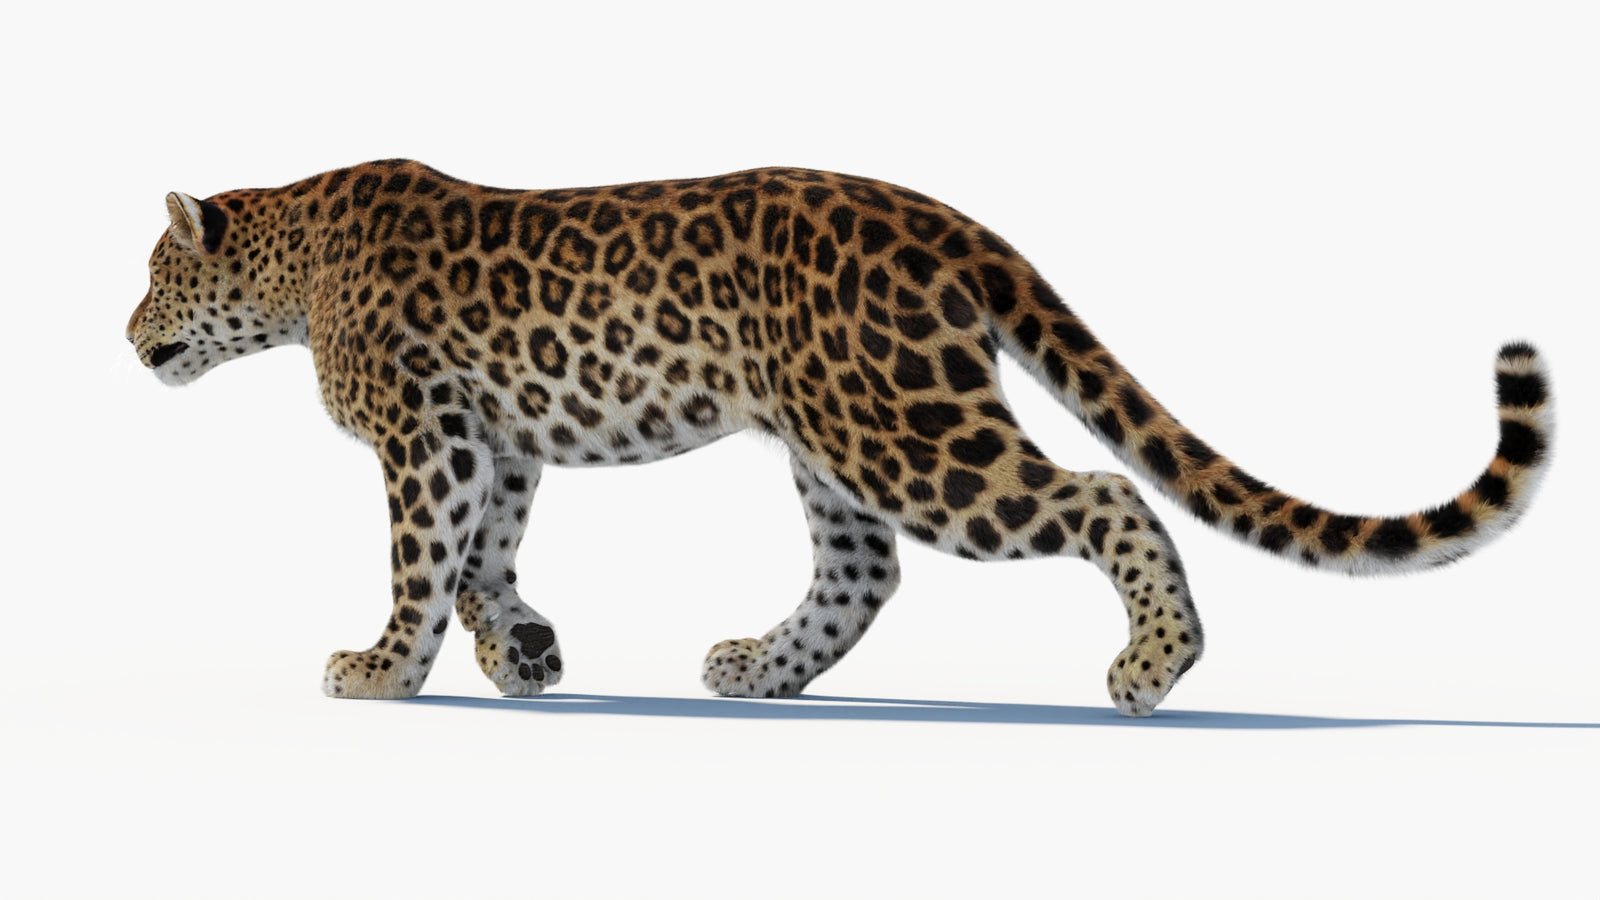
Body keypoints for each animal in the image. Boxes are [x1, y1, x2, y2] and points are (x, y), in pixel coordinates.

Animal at [126, 160, 1553, 716]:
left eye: (152, 272)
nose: (123, 330)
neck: (293, 263)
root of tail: (945, 219)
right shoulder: (498, 435)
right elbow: (483, 560)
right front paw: (522, 653)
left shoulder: (425, 431)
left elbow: (420, 558)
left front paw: (380, 670)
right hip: (836, 436)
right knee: (863, 573)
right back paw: (757, 668)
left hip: (908, 434)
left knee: (1099, 495)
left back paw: (1153, 664)